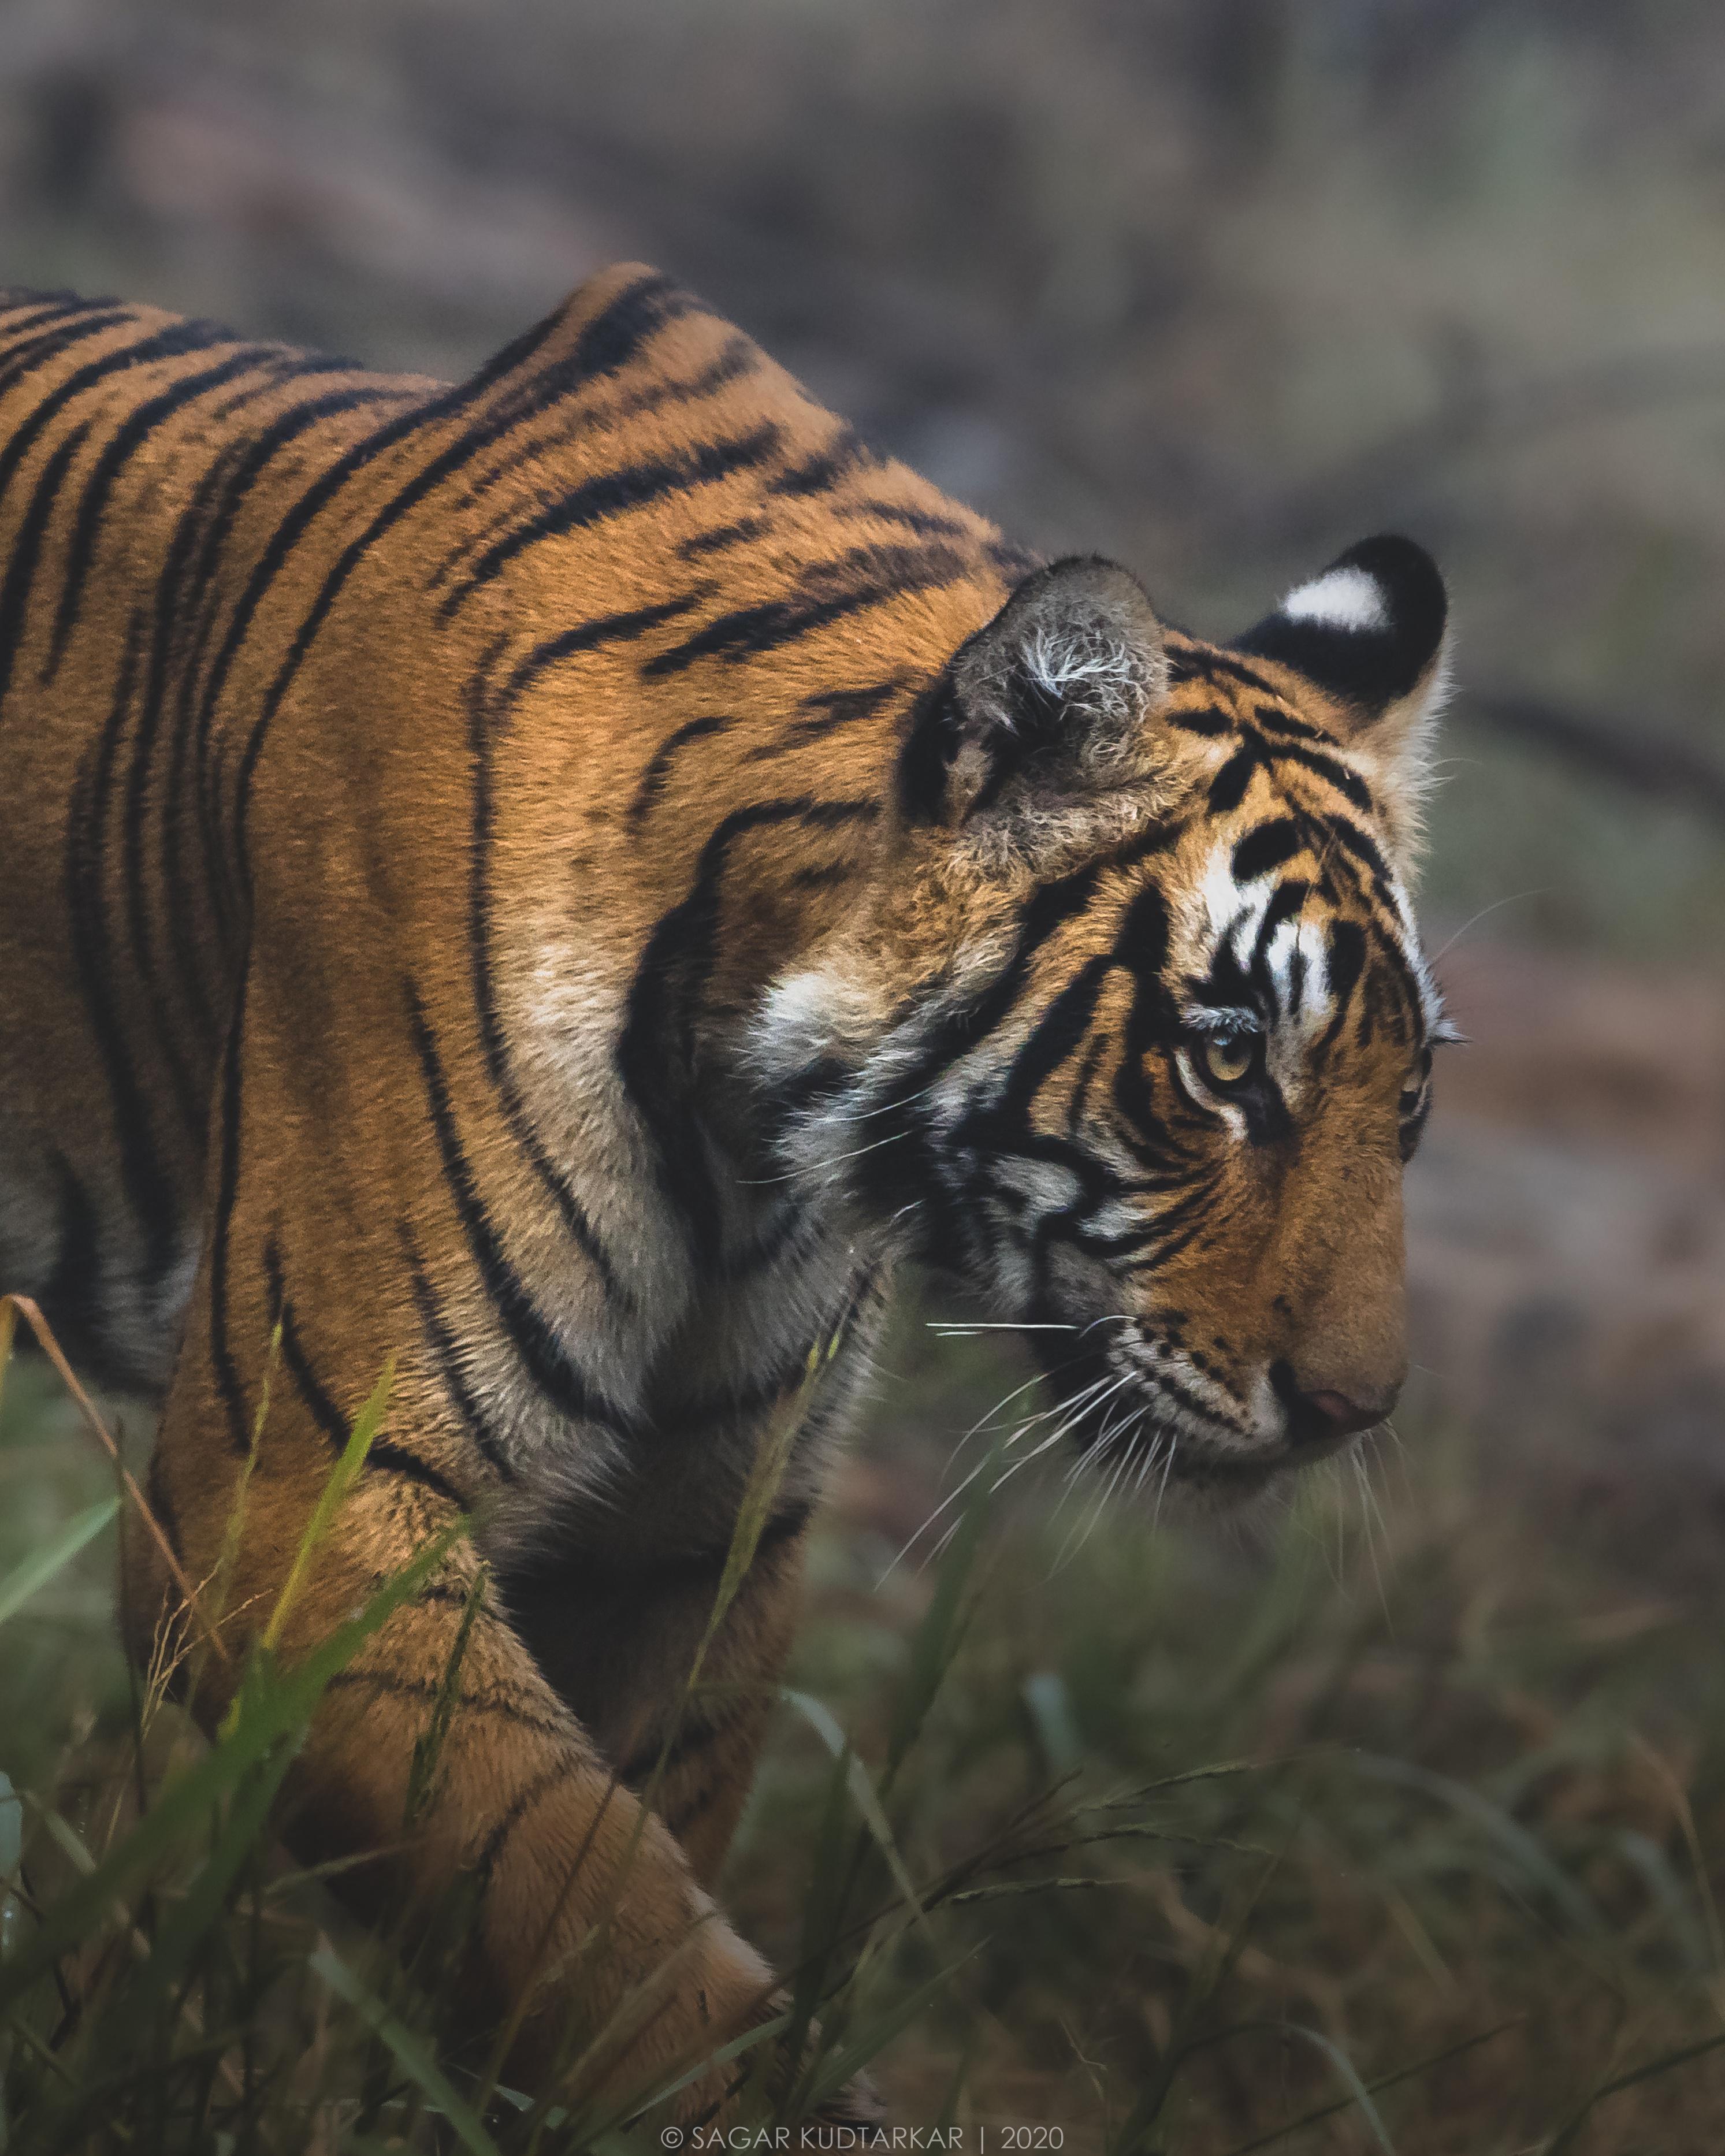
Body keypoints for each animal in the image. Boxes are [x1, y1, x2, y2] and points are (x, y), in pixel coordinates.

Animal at [0, 263, 1451, 2124]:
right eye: (1222, 1058)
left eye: (1404, 1099)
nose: (1354, 1409)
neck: (753, 1141)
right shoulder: (295, 1499)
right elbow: (594, 1915)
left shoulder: (691, 1527)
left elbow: (608, 1869)